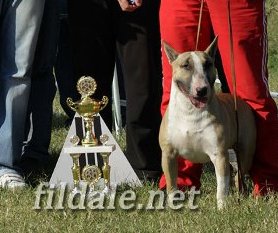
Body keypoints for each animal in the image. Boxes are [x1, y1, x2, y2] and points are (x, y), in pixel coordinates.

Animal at [160, 37, 255, 208]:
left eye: (208, 64)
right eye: (186, 65)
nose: (202, 89)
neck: (190, 112)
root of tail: (240, 101)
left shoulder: (219, 155)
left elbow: (221, 186)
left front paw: (222, 207)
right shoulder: (168, 154)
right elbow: (171, 183)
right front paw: (172, 204)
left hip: (245, 153)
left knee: (238, 175)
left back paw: (241, 195)